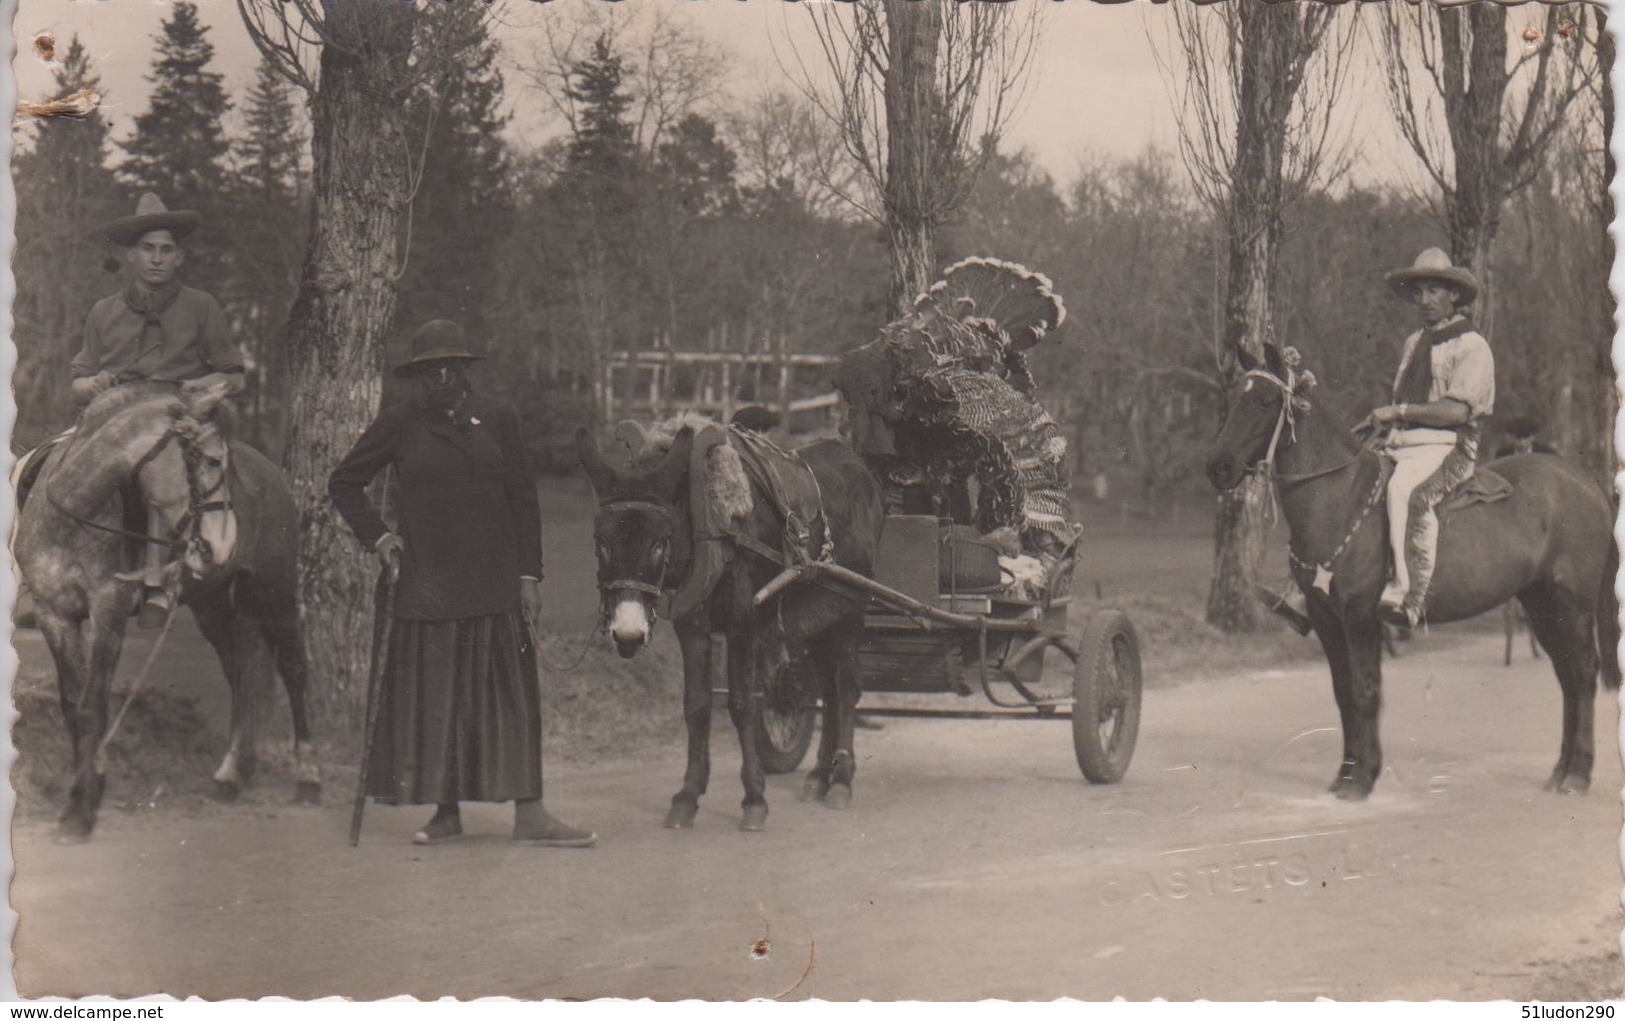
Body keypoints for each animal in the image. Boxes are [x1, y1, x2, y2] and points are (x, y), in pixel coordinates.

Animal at [14, 386, 318, 838]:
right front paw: (83, 794)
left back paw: (308, 779)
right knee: (241, 674)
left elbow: (92, 705)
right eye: (211, 460)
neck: (72, 510)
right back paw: (231, 776)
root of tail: (270, 471)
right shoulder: (53, 614)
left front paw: (83, 810)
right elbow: (72, 707)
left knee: (294, 671)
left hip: (275, 590)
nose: (222, 544)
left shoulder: (108, 610)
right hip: (213, 604)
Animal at [578, 419, 884, 832]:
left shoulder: (743, 621)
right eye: (601, 543)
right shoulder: (691, 626)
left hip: (851, 606)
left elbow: (742, 704)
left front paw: (754, 798)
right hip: (819, 616)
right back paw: (820, 776)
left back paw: (842, 781)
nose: (627, 634)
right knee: (830, 691)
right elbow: (696, 706)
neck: (710, 524)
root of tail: (852, 458)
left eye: (659, 543)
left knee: (848, 688)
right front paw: (688, 796)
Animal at [1202, 346, 1618, 803]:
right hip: (1542, 604)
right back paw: (1560, 772)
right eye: (1234, 398)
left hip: (1573, 603)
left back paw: (1578, 774)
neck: (1339, 497)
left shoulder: (1359, 617)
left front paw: (1361, 780)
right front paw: (1346, 774)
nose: (1218, 468)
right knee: (1566, 678)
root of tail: (1586, 482)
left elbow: (1365, 691)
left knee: (1583, 674)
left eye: (1265, 402)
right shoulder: (1327, 619)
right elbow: (1343, 693)